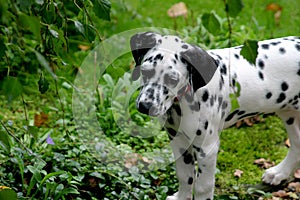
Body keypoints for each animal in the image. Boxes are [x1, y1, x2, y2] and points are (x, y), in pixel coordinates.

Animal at [130, 32, 300, 199]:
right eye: (145, 71)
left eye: (172, 79)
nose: (145, 106)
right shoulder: (178, 141)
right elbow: (185, 176)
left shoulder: (207, 149)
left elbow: (202, 187)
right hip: (288, 113)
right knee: (296, 144)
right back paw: (280, 172)